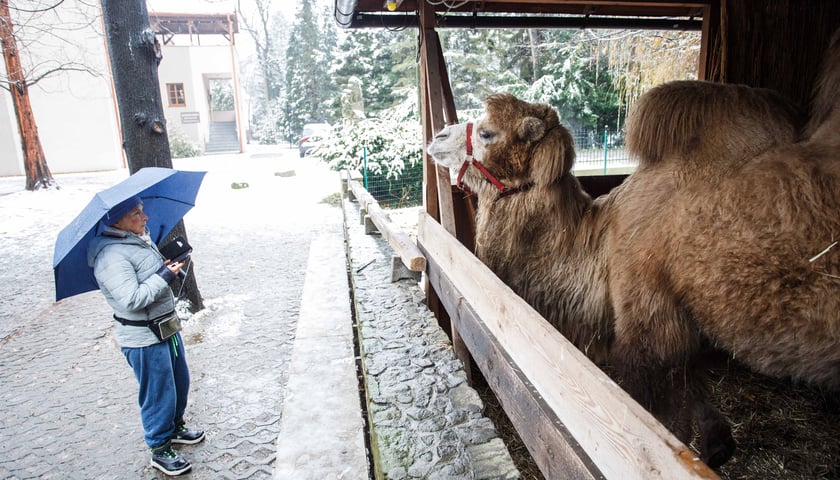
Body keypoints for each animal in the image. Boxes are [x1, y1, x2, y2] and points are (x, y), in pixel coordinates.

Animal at [430, 31, 836, 466]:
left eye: (487, 133)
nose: (435, 137)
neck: (599, 244)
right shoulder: (683, 324)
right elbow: (694, 383)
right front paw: (717, 446)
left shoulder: (649, 325)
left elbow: (661, 425)